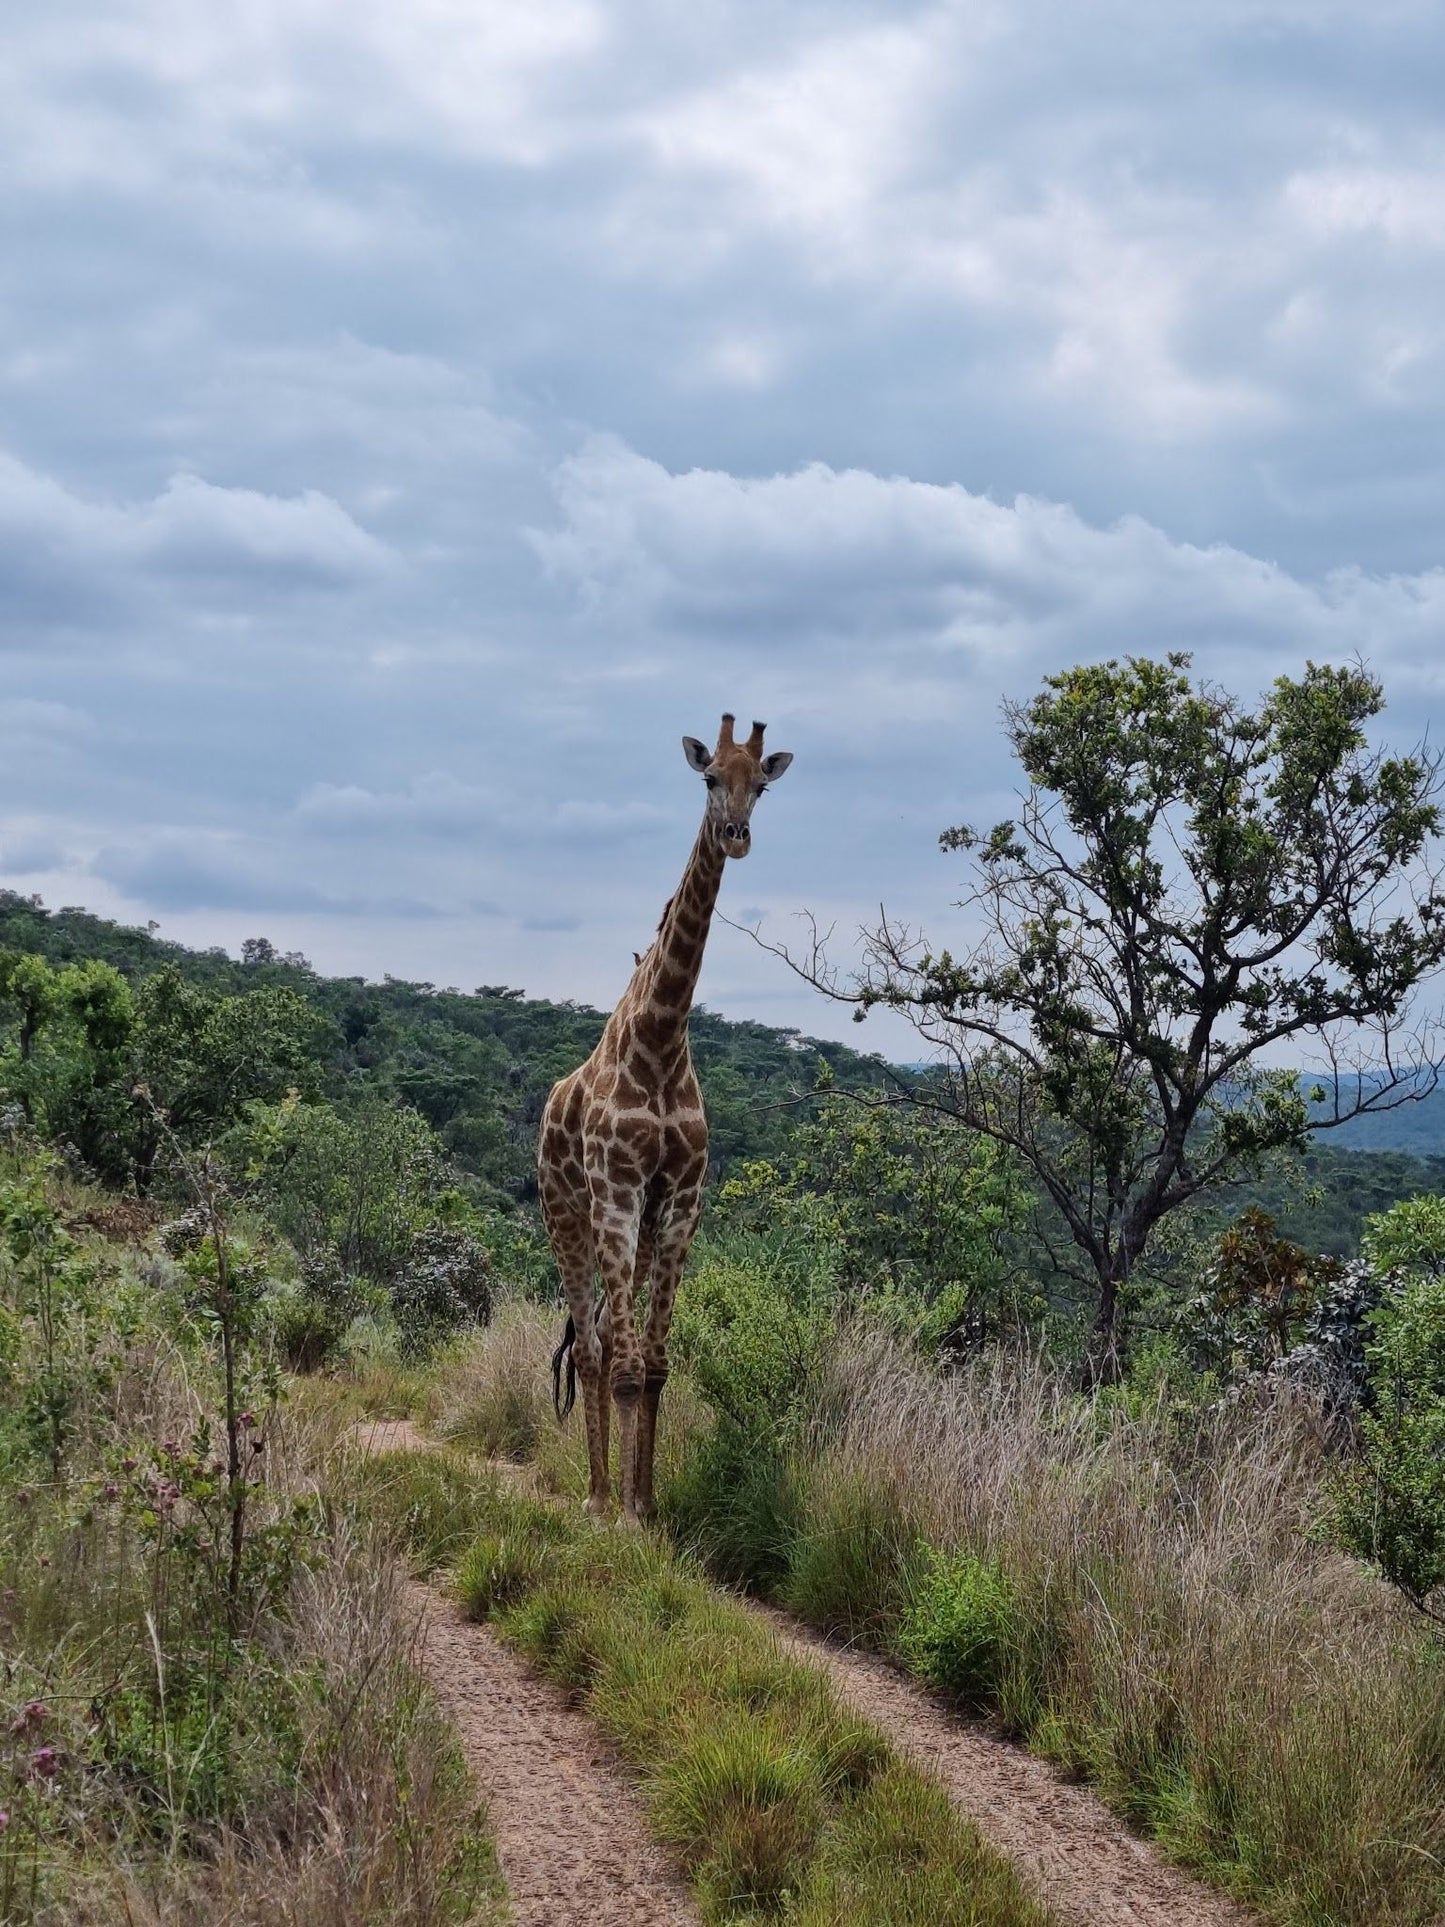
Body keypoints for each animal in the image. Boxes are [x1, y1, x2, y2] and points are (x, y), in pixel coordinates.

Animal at [539, 709, 797, 1518]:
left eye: (761, 786)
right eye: (709, 777)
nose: (735, 834)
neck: (659, 1039)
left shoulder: (679, 1199)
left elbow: (653, 1366)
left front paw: (647, 1505)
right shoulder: (618, 1194)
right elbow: (623, 1365)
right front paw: (623, 1515)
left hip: (638, 1224)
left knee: (599, 1339)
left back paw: (609, 1490)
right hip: (568, 1213)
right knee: (593, 1349)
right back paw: (593, 1498)